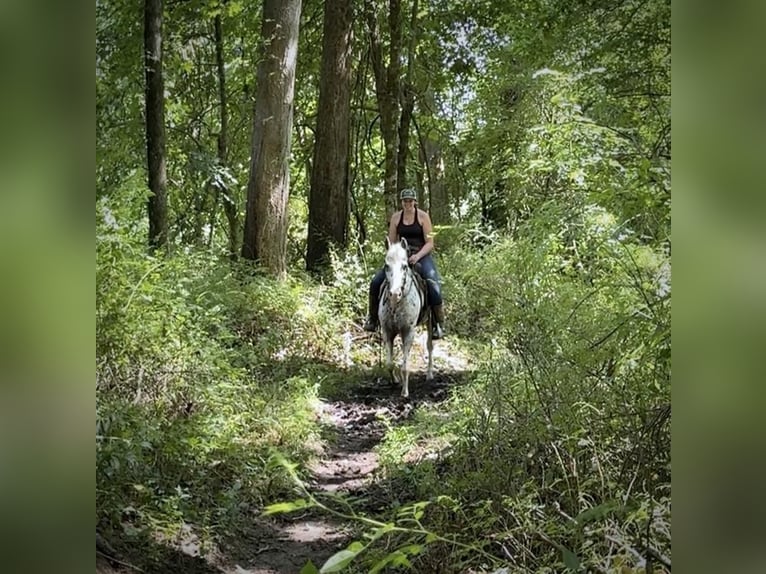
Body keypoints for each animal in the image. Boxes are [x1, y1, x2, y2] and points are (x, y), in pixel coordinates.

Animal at [380, 237, 436, 396]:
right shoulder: (387, 331)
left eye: (404, 266)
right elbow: (389, 363)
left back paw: (429, 374)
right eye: (386, 266)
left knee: (430, 346)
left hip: (430, 322)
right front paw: (395, 381)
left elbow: (405, 366)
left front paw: (405, 392)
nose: (394, 294)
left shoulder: (408, 332)